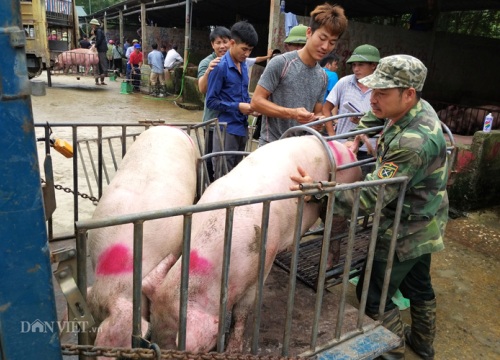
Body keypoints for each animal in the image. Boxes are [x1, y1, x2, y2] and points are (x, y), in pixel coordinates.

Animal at [143, 135, 362, 352]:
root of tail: (347, 148)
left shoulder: (259, 265)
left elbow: (242, 311)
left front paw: (233, 350)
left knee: (337, 229)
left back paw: (328, 265)